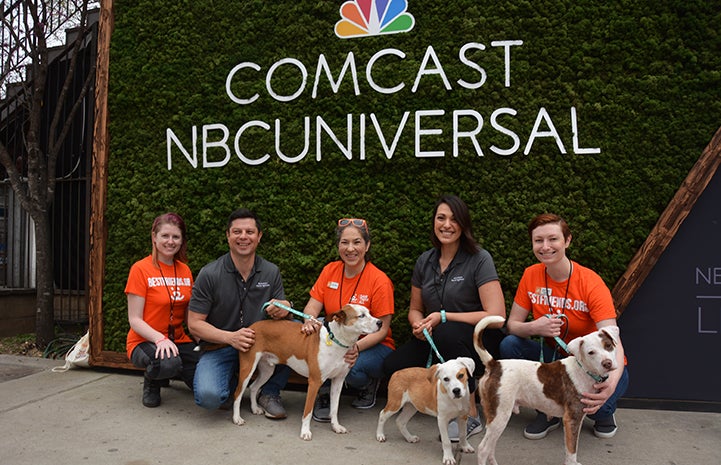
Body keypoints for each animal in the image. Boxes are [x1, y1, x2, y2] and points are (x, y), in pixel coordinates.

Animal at [232, 302, 382, 440]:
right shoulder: (314, 382)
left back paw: (255, 408)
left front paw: (336, 426)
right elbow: (307, 412)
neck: (336, 341)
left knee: (253, 387)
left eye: (370, 312)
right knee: (238, 393)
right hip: (248, 368)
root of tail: (252, 326)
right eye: (361, 316)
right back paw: (237, 418)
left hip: (267, 370)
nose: (380, 322)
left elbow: (334, 408)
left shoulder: (338, 381)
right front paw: (305, 431)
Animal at [472, 314, 620, 464]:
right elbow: (571, 450)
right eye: (591, 352)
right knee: (483, 449)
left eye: (608, 346)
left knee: (491, 446)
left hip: (496, 417)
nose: (607, 363)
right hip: (500, 415)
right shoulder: (572, 420)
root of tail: (495, 365)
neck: (584, 370)